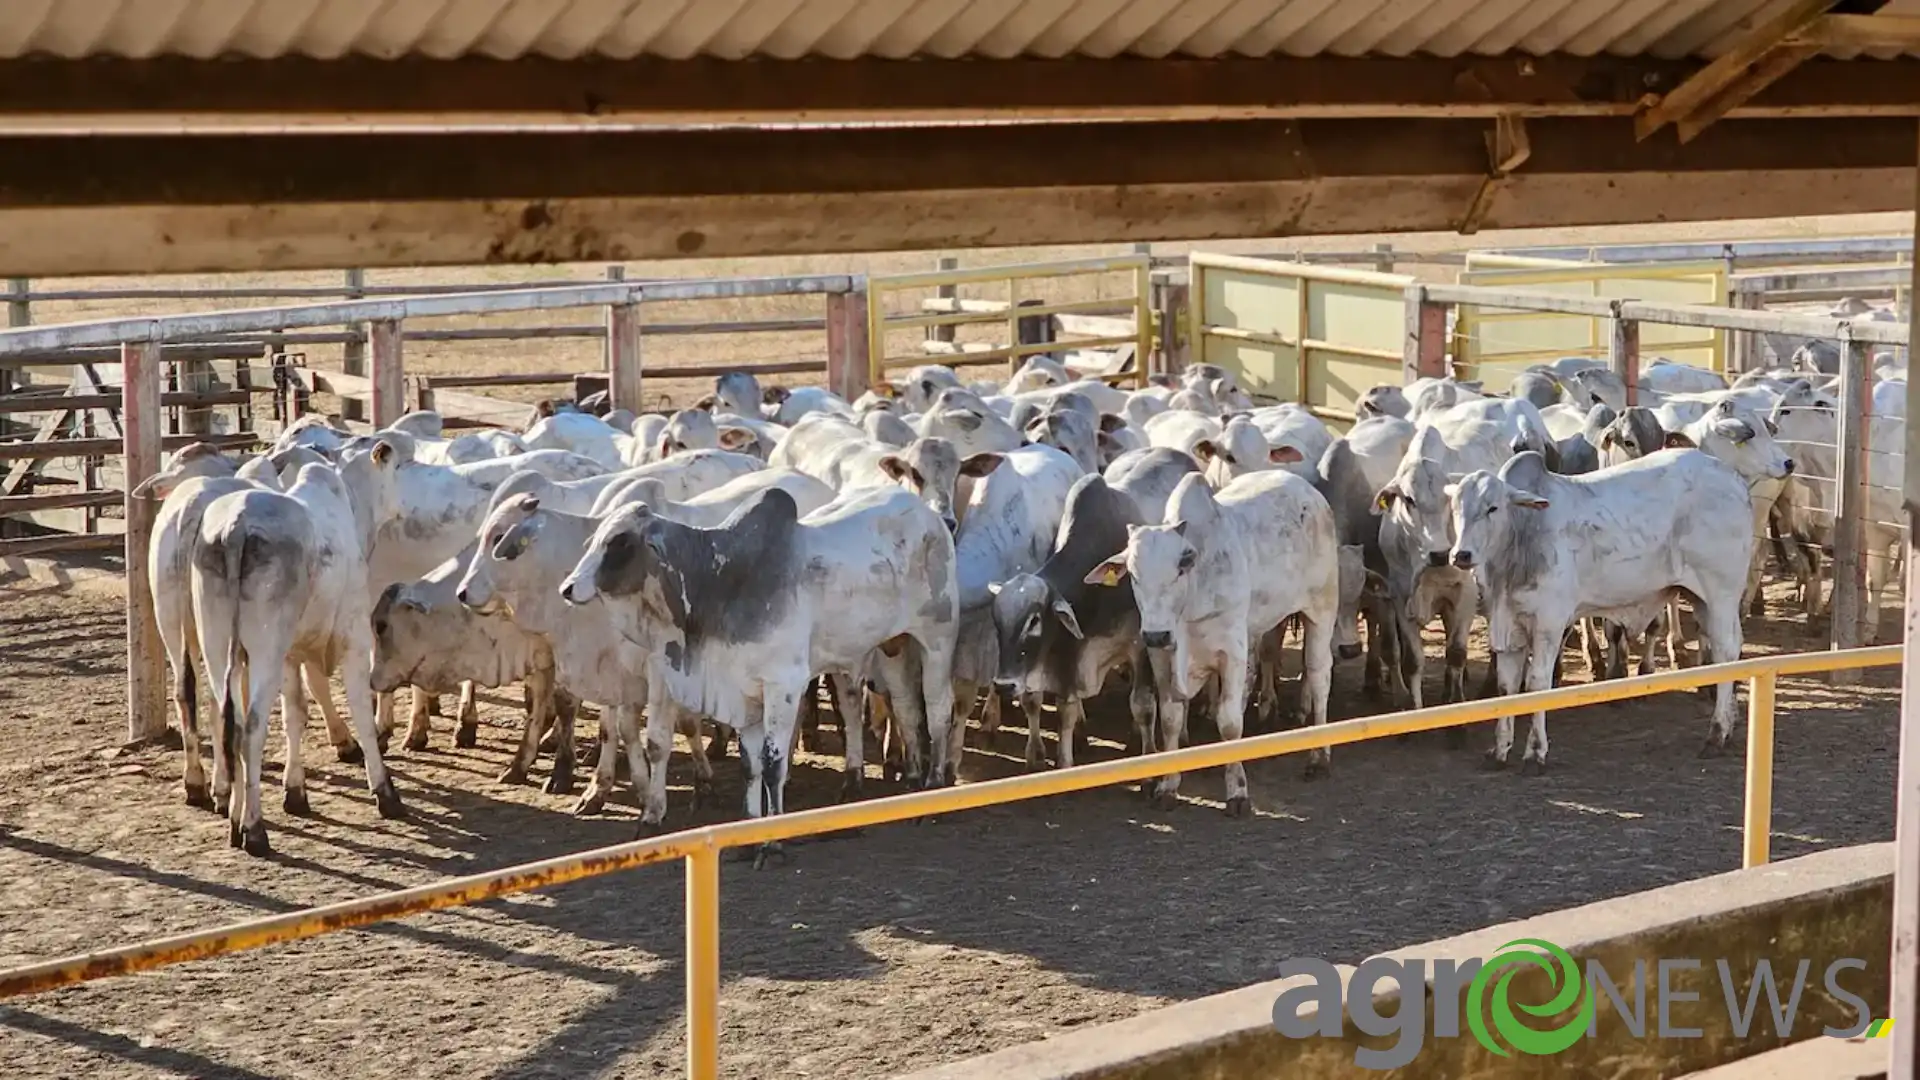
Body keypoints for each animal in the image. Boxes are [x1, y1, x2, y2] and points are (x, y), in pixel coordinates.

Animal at [1082, 466, 1336, 810]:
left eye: (1180, 568)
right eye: (1133, 574)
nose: (1156, 633)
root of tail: (1309, 492)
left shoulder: (1231, 653)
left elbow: (1229, 722)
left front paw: (1238, 792)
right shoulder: (1161, 657)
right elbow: (1171, 718)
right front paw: (1168, 786)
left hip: (1321, 609)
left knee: (1319, 676)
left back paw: (1318, 758)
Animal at [1451, 445, 1758, 764]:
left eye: (1493, 508)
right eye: (1456, 508)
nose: (1461, 555)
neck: (1522, 536)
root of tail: (1735, 479)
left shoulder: (1548, 624)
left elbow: (1537, 683)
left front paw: (1535, 751)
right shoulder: (1508, 626)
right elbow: (1507, 688)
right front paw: (1500, 749)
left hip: (1721, 593)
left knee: (1726, 652)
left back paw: (1717, 733)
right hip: (1703, 600)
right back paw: (1728, 725)